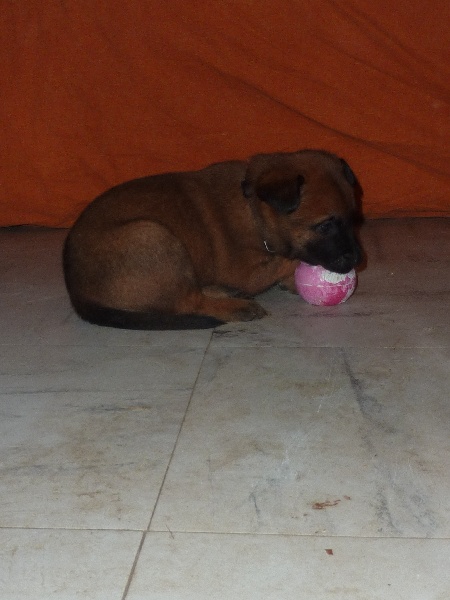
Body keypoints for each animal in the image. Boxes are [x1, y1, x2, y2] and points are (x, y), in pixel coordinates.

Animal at [63, 150, 363, 329]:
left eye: (354, 219)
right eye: (325, 226)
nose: (358, 259)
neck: (252, 207)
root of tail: (77, 293)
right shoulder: (248, 273)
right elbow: (287, 259)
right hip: (153, 235)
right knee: (189, 301)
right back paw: (235, 306)